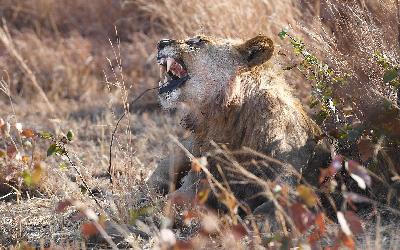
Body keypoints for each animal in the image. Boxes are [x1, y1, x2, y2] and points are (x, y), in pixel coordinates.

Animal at [145, 34, 330, 213]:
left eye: (199, 41)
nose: (161, 42)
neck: (227, 120)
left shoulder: (290, 173)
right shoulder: (197, 179)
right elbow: (170, 202)